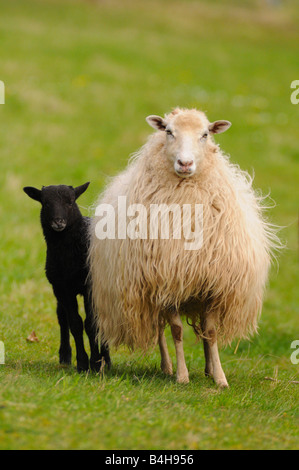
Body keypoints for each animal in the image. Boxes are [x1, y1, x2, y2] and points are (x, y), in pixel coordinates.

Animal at [22, 182, 110, 372]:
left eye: (70, 202)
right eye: (46, 203)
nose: (58, 222)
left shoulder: (89, 287)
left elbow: (91, 324)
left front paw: (96, 362)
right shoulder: (63, 288)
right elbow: (75, 324)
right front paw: (83, 363)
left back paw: (106, 360)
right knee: (62, 317)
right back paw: (65, 355)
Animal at [88, 108, 282, 388]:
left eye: (205, 134)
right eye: (169, 131)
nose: (185, 164)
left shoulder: (212, 284)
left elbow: (211, 333)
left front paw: (220, 378)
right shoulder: (166, 281)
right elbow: (177, 331)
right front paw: (181, 376)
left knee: (202, 331)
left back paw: (208, 369)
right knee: (160, 329)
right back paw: (167, 367)